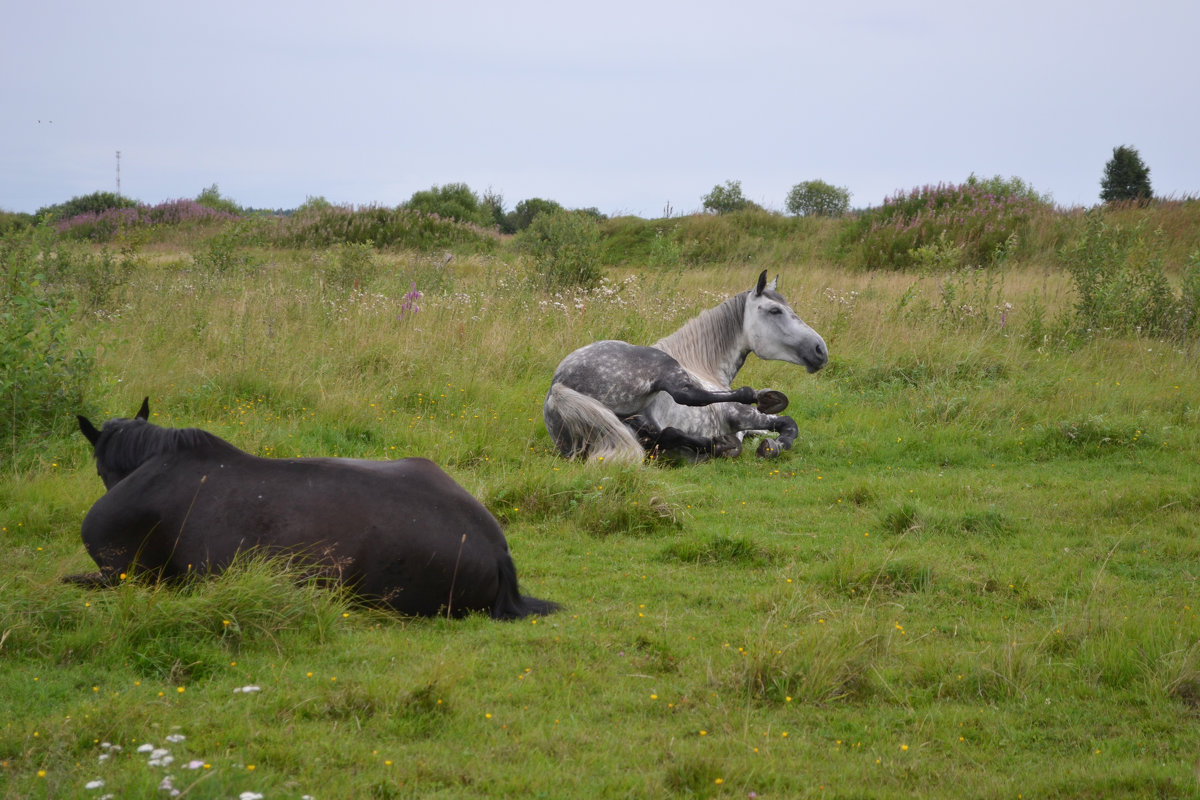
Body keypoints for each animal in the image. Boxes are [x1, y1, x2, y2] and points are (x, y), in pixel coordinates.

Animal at [544, 272, 825, 462]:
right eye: (775, 310)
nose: (820, 350)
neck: (705, 367)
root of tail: (558, 387)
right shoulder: (740, 414)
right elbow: (789, 424)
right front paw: (773, 445)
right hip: (661, 366)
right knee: (686, 397)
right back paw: (754, 401)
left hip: (628, 428)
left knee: (662, 435)